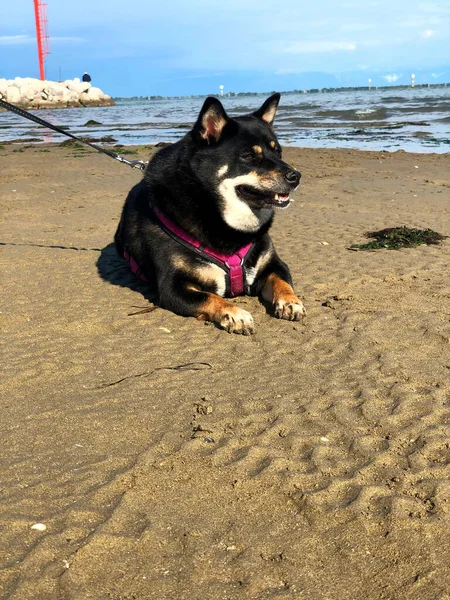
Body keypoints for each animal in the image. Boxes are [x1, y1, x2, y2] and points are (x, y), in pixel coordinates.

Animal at [115, 95, 306, 336]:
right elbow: (210, 297)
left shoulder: (273, 264)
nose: (296, 176)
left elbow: (283, 282)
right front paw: (234, 313)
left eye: (278, 152)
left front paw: (291, 301)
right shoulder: (173, 287)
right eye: (248, 156)